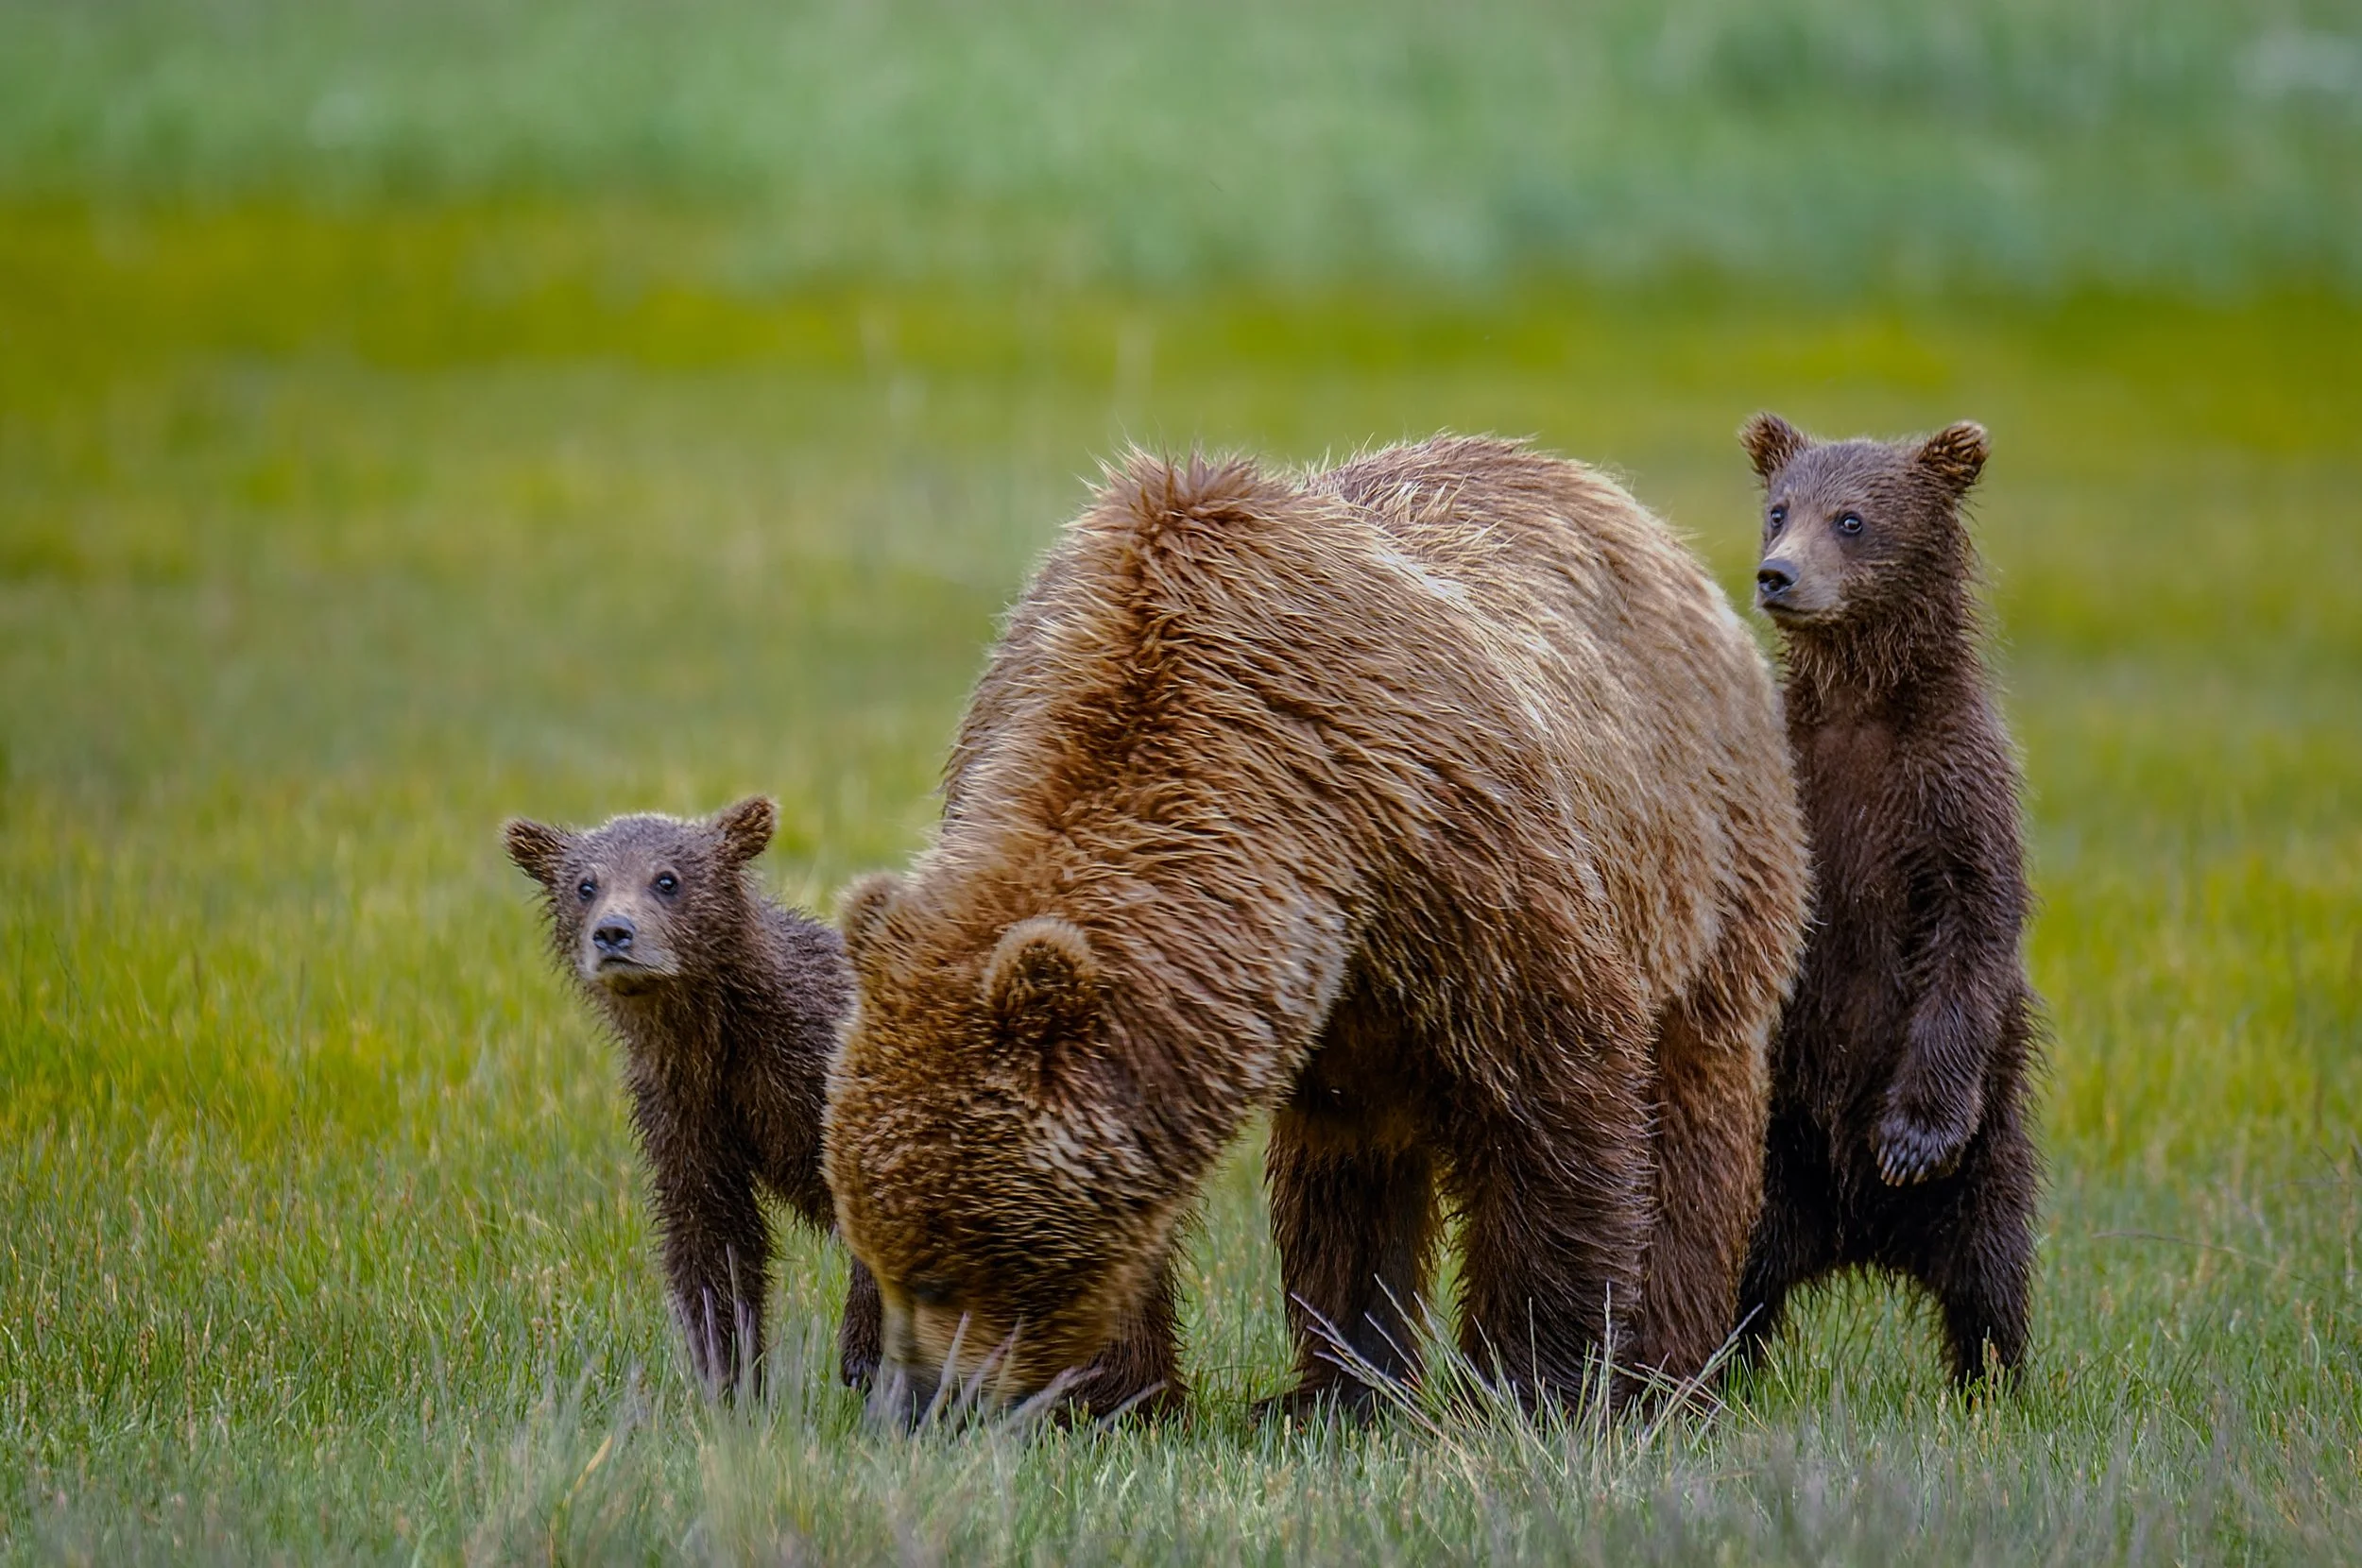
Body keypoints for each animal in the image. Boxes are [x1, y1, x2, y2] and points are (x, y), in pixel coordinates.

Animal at [504, 797, 883, 1396]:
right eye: (586, 884)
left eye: (667, 879)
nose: (614, 933)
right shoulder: (688, 1108)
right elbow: (713, 1239)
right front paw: (729, 1378)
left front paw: (863, 1355)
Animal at [821, 435, 1809, 1421]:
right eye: (878, 1245)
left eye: (949, 1264)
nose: (911, 1399)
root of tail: (1641, 522)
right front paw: (1113, 1395)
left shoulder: (1453, 851)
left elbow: (1556, 1099)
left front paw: (1538, 1384)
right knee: (1346, 1166)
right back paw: (1338, 1388)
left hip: (1707, 859)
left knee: (1694, 1107)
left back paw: (1669, 1370)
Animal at [1733, 413, 2043, 1386]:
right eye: (1780, 508)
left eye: (1854, 519)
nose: (1778, 574)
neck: (1860, 707)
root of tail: (1858, 1239)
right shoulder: (1793, 782)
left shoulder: (1951, 796)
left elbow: (1971, 936)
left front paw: (1912, 1139)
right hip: (1775, 1161)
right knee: (1741, 1264)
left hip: (1993, 1155)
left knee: (1988, 1272)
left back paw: (1990, 1382)